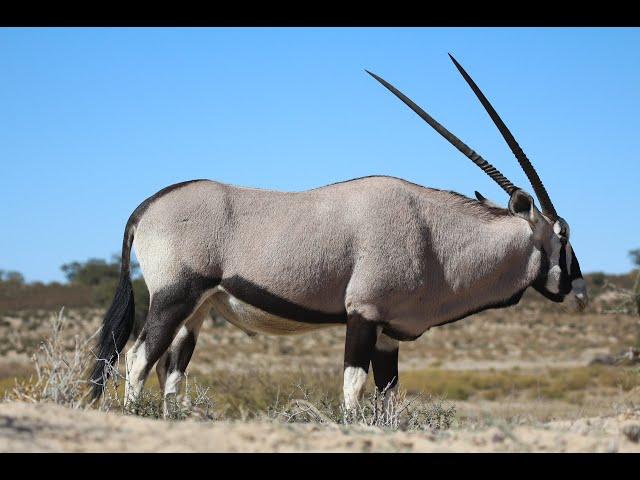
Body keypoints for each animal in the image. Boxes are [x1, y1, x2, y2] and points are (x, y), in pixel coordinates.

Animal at [90, 54, 592, 414]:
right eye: (563, 233)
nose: (580, 291)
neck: (435, 237)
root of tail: (148, 206)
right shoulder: (363, 315)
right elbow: (353, 388)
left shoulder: (389, 330)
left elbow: (389, 396)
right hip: (174, 296)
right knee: (138, 359)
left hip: (195, 310)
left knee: (170, 371)